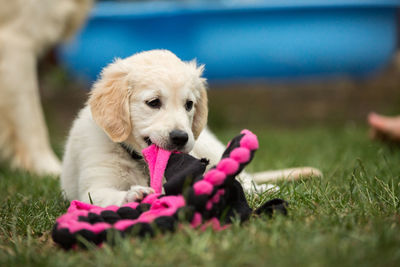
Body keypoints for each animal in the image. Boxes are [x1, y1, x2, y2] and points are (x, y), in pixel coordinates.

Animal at [60, 49, 322, 207]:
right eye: (153, 102)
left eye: (189, 104)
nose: (180, 137)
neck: (139, 159)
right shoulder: (92, 187)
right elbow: (104, 196)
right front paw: (133, 195)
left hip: (209, 146)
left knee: (242, 177)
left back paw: (263, 188)